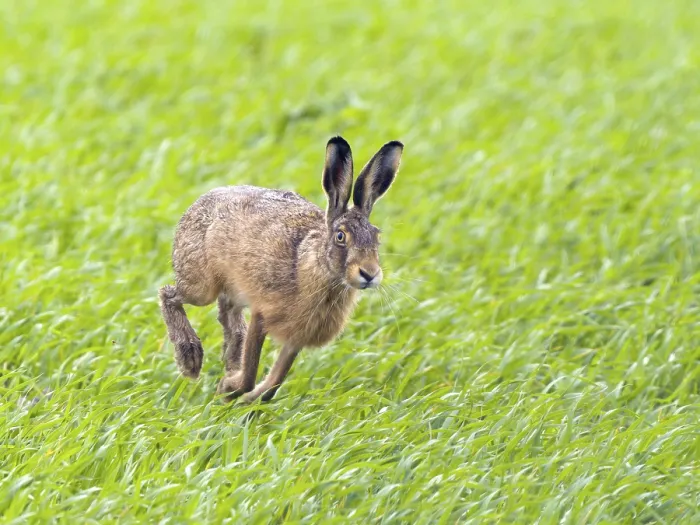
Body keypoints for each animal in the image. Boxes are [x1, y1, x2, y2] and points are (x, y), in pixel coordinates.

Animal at [159, 136, 403, 403]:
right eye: (340, 237)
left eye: (377, 237)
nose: (370, 273)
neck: (314, 265)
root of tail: (198, 203)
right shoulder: (262, 313)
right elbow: (250, 373)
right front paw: (228, 388)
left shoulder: (296, 338)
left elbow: (274, 384)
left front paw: (243, 398)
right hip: (201, 285)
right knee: (169, 294)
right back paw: (191, 359)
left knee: (227, 316)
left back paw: (230, 362)